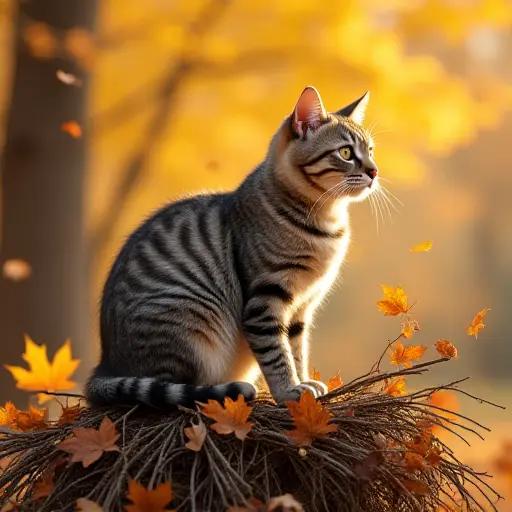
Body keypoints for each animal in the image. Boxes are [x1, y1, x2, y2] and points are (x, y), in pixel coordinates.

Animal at [86, 87, 378, 408]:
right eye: (346, 153)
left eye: (370, 150)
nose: (374, 172)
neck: (325, 221)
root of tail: (105, 365)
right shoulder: (266, 299)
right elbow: (277, 354)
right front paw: (289, 390)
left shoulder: (302, 307)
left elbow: (297, 350)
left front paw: (303, 383)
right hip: (189, 322)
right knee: (171, 389)